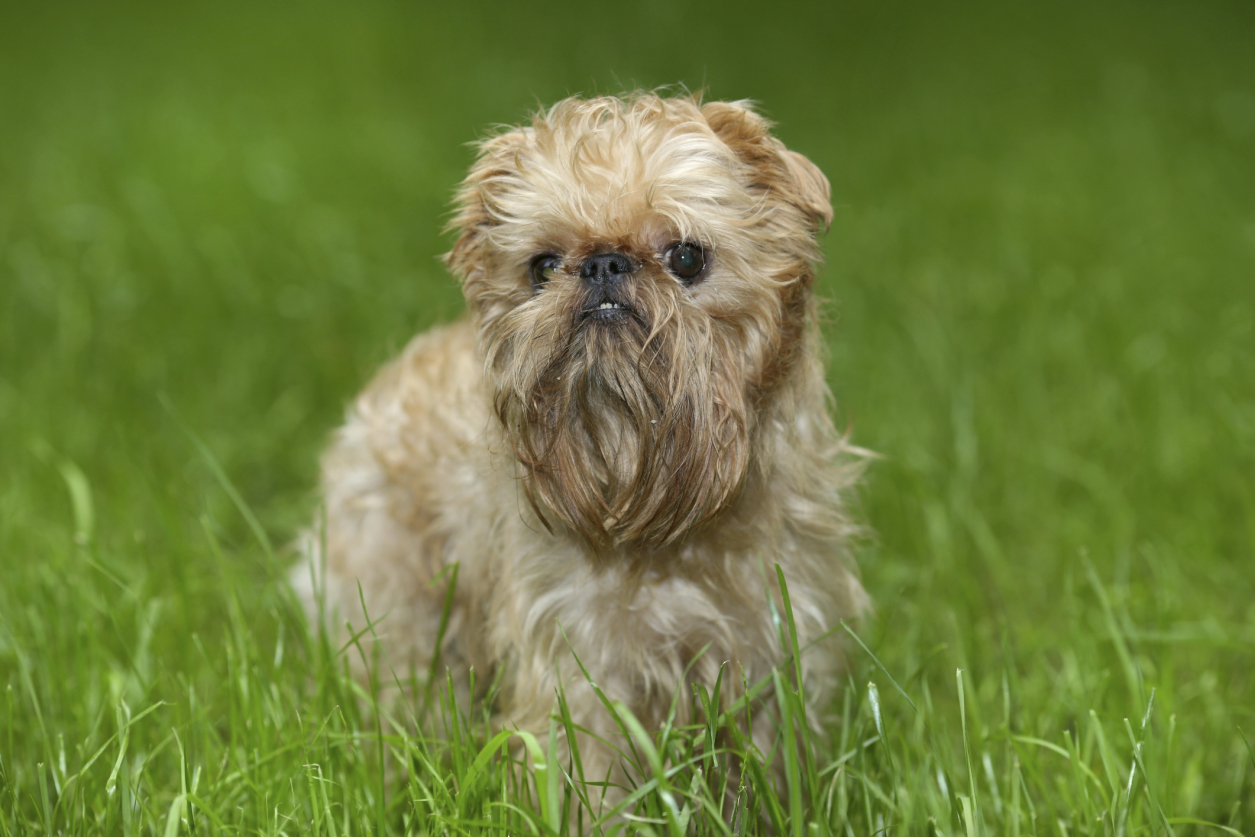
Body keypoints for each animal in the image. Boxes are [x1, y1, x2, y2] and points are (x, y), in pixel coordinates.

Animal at [292, 91, 868, 813]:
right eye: (542, 267)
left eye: (685, 257)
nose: (602, 263)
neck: (664, 525)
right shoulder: (579, 663)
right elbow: (586, 775)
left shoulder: (772, 647)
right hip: (394, 606)